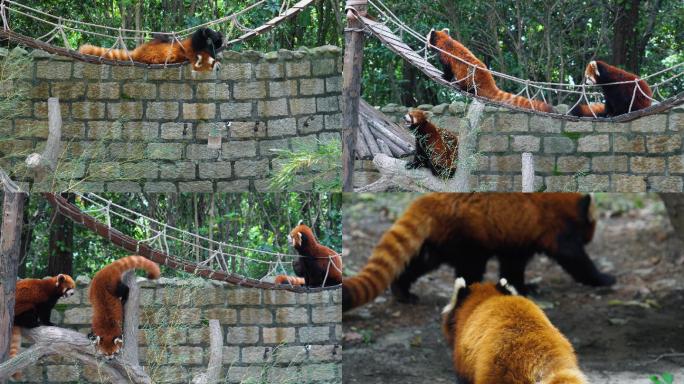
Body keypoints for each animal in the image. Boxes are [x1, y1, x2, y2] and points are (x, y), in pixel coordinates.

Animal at [79, 27, 220, 72]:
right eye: (213, 63)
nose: (218, 67)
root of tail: (137, 54)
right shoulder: (189, 47)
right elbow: (200, 35)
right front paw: (214, 35)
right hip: (154, 43)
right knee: (164, 37)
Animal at [342, 194, 616, 310]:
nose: (591, 238)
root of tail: (429, 199)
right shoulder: (555, 228)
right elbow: (574, 259)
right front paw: (604, 278)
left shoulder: (516, 239)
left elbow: (513, 266)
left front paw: (523, 287)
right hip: (467, 237)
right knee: (470, 268)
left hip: (441, 238)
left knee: (423, 262)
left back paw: (402, 291)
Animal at [428, 28, 556, 112]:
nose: (428, 46)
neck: (445, 40)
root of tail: (488, 81)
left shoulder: (446, 56)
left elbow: (448, 69)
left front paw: (445, 77)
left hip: (469, 78)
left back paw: (463, 87)